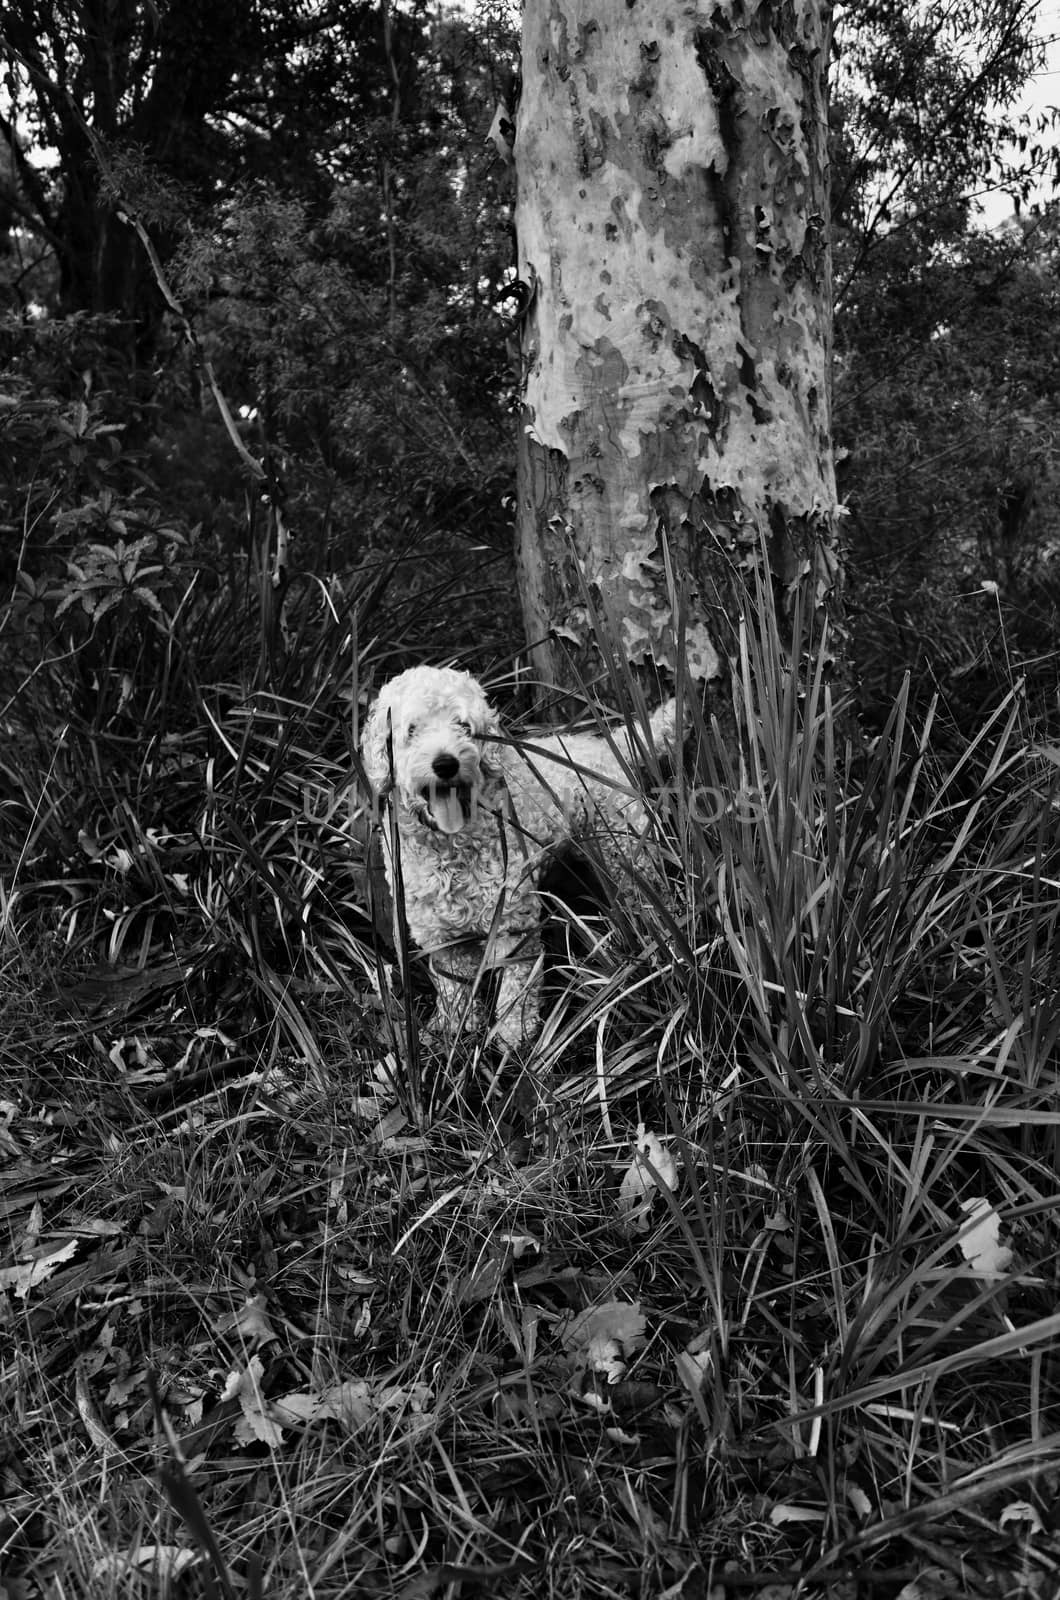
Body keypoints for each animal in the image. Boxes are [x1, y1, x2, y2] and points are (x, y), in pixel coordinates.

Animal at [363, 662, 682, 1049]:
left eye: (464, 726)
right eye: (412, 729)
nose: (445, 763)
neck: (452, 850)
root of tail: (607, 744)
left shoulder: (514, 929)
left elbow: (517, 990)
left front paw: (513, 1038)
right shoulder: (441, 941)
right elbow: (453, 988)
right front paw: (454, 1030)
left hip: (630, 854)